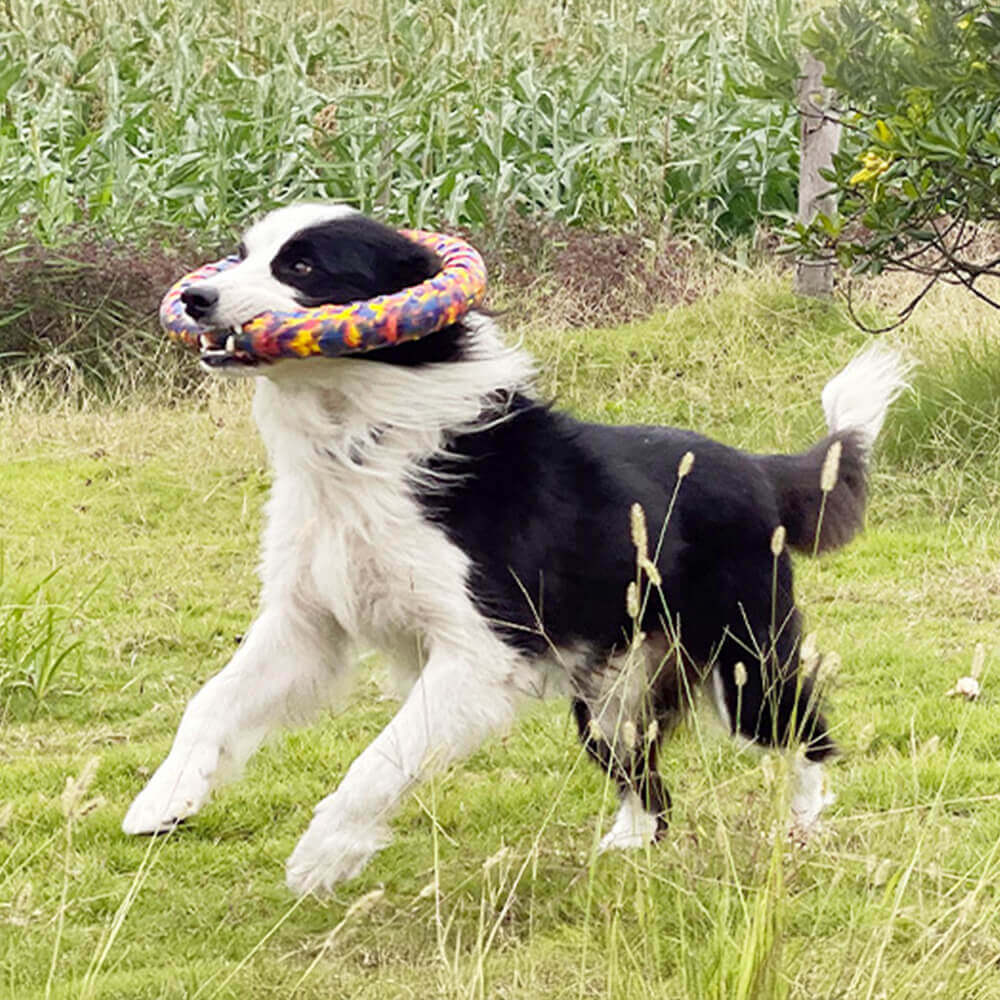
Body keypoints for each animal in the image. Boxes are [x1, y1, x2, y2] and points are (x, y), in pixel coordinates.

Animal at [121, 201, 912, 892]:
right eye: (242, 253)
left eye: (303, 265)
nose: (193, 296)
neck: (358, 441)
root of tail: (759, 469)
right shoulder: (306, 624)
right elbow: (212, 702)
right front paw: (163, 800)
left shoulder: (481, 650)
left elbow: (381, 758)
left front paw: (323, 855)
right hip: (612, 695)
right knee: (649, 785)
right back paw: (628, 843)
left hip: (746, 662)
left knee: (804, 736)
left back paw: (803, 827)